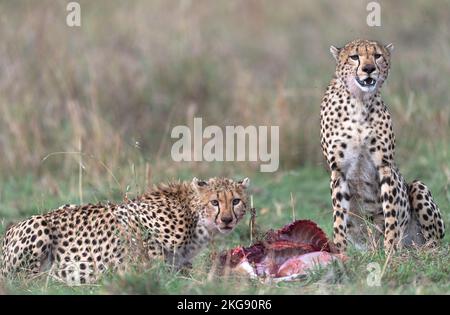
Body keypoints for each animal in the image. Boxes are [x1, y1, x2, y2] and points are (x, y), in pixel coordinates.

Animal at [0, 178, 250, 284]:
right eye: (215, 202)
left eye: (236, 201)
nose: (227, 219)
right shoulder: (131, 219)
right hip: (39, 225)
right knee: (23, 281)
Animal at [322, 39, 444, 253]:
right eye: (354, 57)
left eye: (377, 56)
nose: (369, 69)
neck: (359, 101)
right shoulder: (338, 169)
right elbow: (339, 216)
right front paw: (340, 250)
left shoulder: (385, 165)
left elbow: (391, 212)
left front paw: (390, 250)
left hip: (418, 187)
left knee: (434, 240)